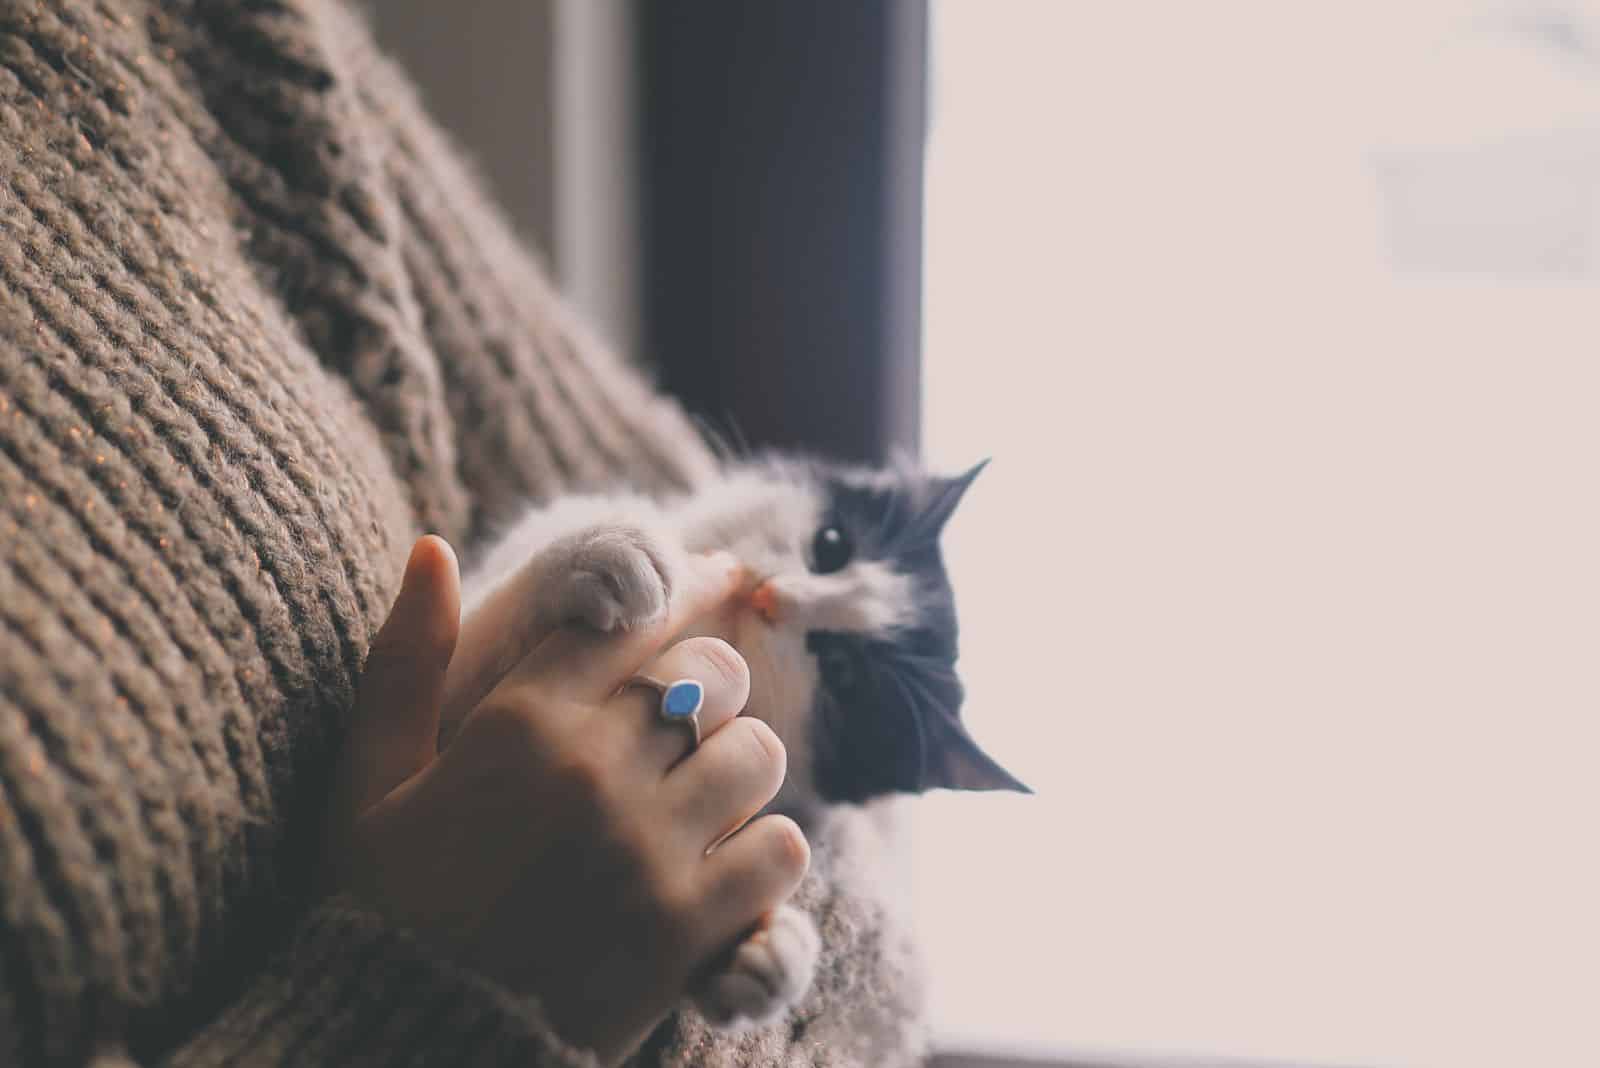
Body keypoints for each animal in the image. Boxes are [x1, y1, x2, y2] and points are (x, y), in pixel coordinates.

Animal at [451, 454, 1024, 1029]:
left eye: (842, 673)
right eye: (832, 544)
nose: (770, 596)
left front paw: (765, 951)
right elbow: (473, 637)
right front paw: (597, 549)